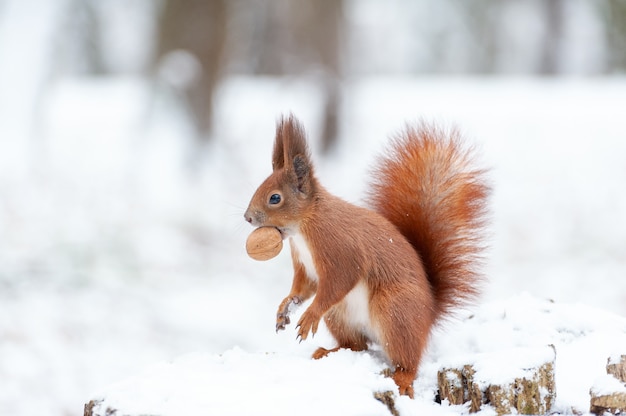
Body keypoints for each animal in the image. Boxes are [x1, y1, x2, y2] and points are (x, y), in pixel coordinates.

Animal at [244, 114, 488, 396]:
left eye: (275, 198)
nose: (247, 217)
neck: (305, 226)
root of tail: (429, 315)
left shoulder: (339, 248)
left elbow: (339, 281)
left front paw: (309, 315)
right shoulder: (305, 265)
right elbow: (304, 287)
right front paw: (286, 307)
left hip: (395, 311)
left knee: (407, 360)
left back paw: (402, 377)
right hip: (340, 316)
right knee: (357, 346)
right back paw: (328, 351)